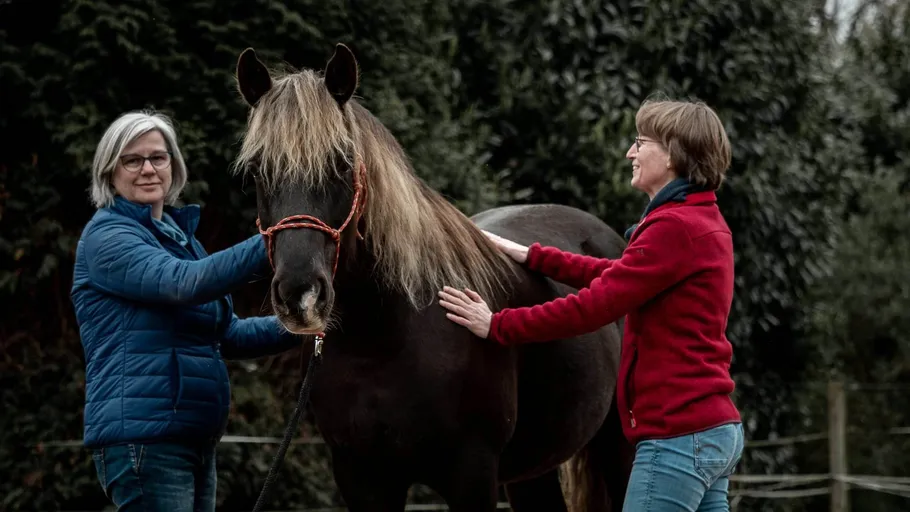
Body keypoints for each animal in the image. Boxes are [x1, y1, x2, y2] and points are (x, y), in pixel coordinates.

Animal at [233, 43, 634, 511]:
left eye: (343, 162)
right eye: (256, 170)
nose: (301, 294)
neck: (383, 338)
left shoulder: (472, 475)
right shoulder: (361, 477)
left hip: (619, 448)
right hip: (533, 470)